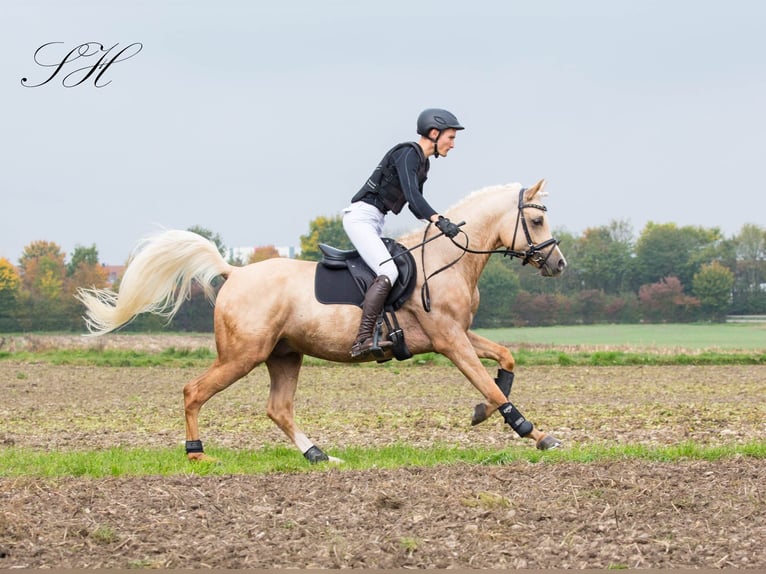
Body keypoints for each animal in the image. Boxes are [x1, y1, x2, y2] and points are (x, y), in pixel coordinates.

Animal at [78, 180, 568, 464]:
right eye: (536, 220)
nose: (558, 264)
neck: (446, 258)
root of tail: (234, 273)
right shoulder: (449, 340)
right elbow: (491, 385)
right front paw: (536, 434)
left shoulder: (458, 335)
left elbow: (505, 360)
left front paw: (483, 412)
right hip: (242, 355)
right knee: (193, 391)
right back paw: (197, 454)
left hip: (284, 356)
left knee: (278, 408)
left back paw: (318, 454)